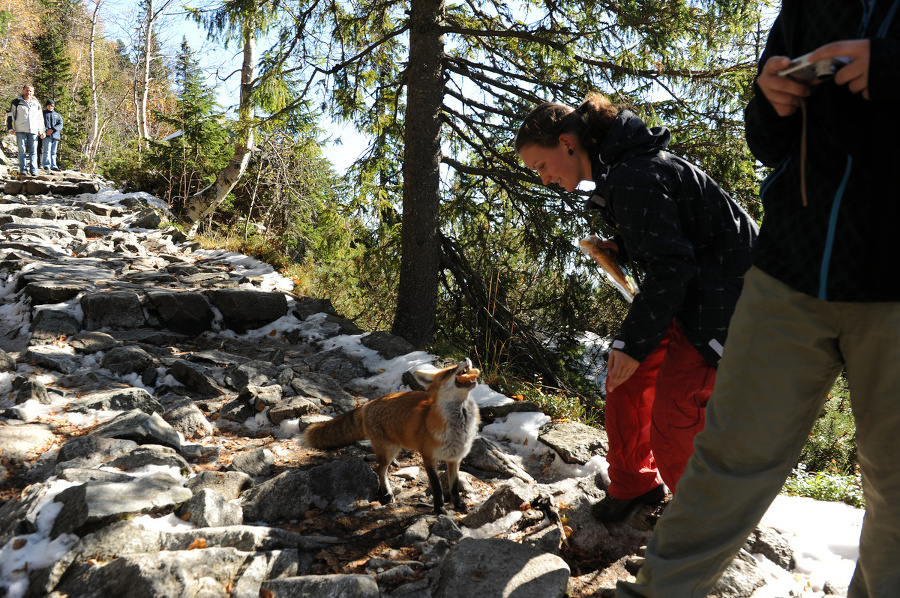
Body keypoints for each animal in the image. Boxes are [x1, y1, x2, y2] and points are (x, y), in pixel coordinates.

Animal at [302, 360, 482, 516]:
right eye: (449, 371)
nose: (466, 359)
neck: (459, 428)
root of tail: (369, 403)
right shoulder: (428, 457)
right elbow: (437, 487)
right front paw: (439, 509)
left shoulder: (455, 458)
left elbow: (454, 486)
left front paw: (458, 504)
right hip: (389, 450)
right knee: (380, 470)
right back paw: (387, 493)